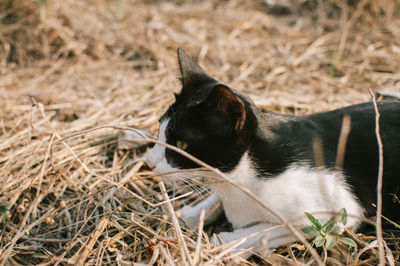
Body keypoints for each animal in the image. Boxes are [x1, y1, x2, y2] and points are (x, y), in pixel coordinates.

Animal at [142, 48, 398, 258]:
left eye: (181, 144)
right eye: (160, 130)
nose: (148, 163)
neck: (244, 175)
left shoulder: (341, 209)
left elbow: (275, 228)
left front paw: (228, 240)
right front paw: (193, 213)